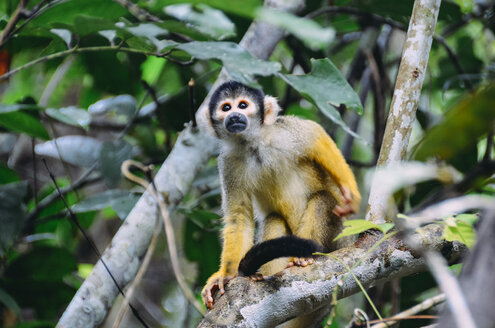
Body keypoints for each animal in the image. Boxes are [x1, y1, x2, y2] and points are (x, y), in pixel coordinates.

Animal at [202, 81, 360, 310]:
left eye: (242, 105)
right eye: (226, 108)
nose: (234, 116)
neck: (253, 146)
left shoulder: (282, 132)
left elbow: (315, 135)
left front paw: (351, 193)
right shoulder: (228, 163)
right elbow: (239, 216)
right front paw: (224, 275)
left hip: (339, 238)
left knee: (324, 199)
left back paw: (304, 258)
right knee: (274, 219)